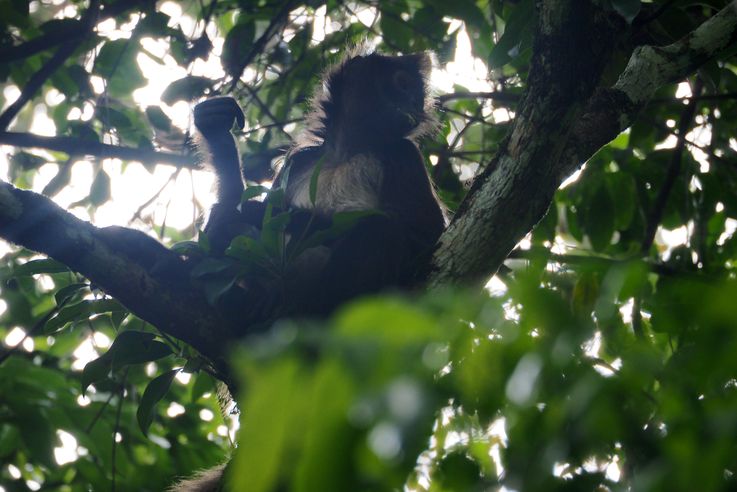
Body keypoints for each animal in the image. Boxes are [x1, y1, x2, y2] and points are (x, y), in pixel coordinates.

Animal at [196, 50, 446, 320]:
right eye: (403, 85)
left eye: (417, 97)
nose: (415, 106)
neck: (346, 152)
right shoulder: (300, 160)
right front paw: (218, 135)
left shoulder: (403, 153)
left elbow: (424, 235)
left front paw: (272, 215)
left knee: (379, 227)